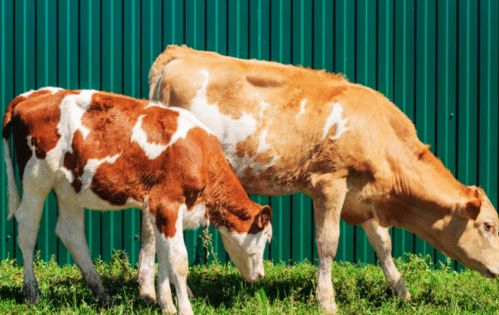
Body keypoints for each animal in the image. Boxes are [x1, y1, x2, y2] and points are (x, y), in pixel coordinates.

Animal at [0, 88, 274, 315]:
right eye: (265, 238)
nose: (260, 275)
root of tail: (30, 95)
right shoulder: (167, 204)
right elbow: (178, 261)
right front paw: (184, 309)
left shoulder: (159, 210)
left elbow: (163, 256)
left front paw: (166, 305)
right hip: (36, 178)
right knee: (27, 230)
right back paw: (33, 293)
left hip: (68, 186)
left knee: (71, 232)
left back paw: (103, 295)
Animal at [149, 45, 499, 314]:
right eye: (487, 226)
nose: (498, 269)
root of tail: (180, 53)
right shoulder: (330, 181)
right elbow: (328, 243)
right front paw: (327, 300)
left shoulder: (363, 197)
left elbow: (383, 244)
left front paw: (401, 291)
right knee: (153, 233)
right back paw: (156, 294)